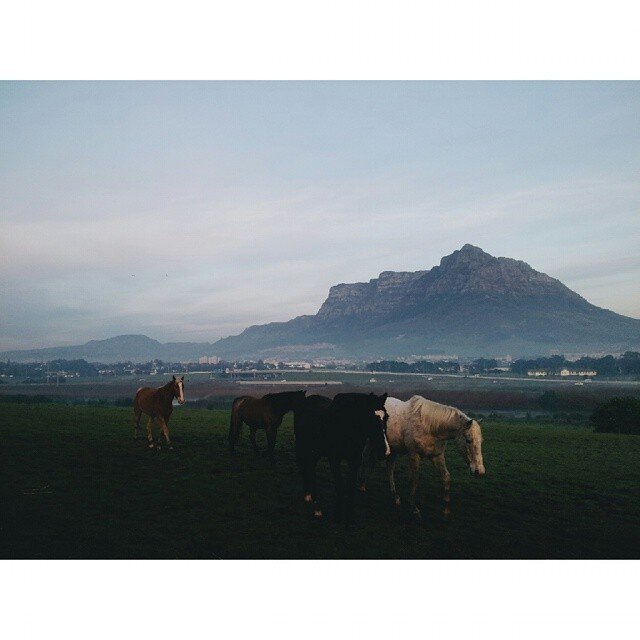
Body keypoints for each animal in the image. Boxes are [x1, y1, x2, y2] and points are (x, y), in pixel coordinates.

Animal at [294, 392, 390, 521]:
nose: (385, 451)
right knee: (309, 472)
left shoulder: (355, 461)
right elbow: (340, 486)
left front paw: (350, 515)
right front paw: (338, 515)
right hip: (306, 450)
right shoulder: (334, 460)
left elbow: (350, 486)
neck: (345, 425)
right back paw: (316, 506)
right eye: (370, 417)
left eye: (387, 417)